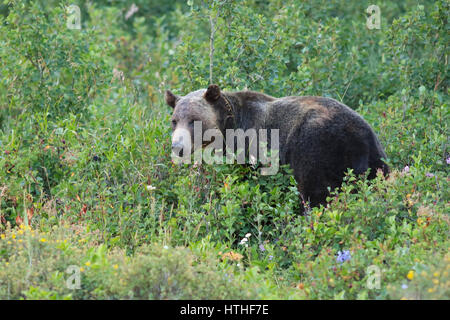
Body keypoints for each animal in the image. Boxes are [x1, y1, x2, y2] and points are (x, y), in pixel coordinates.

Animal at [165, 84, 390, 208]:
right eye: (175, 121)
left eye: (194, 120)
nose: (177, 146)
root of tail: (358, 138)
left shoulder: (251, 146)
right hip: (376, 159)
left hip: (315, 148)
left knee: (316, 194)